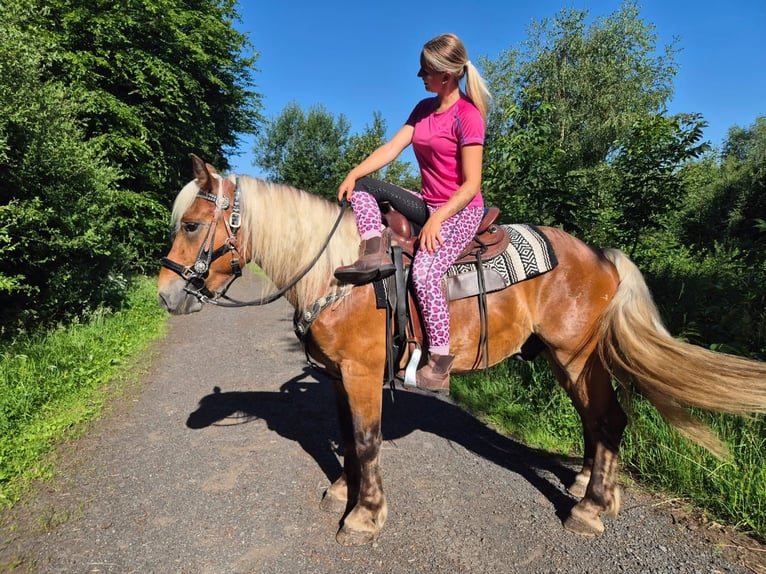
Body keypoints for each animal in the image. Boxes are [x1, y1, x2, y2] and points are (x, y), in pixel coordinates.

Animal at [157, 154, 766, 546]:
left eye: (191, 224)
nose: (166, 295)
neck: (337, 270)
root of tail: (602, 256)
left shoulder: (360, 372)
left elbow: (366, 440)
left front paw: (365, 517)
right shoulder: (337, 376)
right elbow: (348, 440)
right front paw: (344, 492)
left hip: (575, 355)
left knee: (608, 418)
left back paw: (591, 510)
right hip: (564, 358)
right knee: (598, 420)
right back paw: (592, 490)